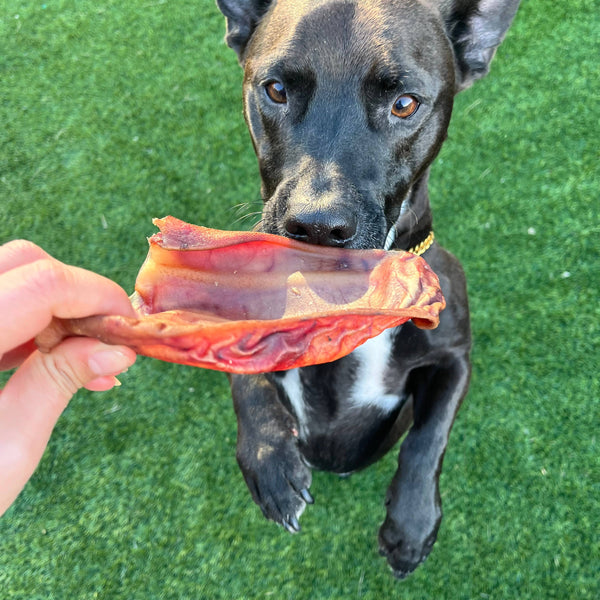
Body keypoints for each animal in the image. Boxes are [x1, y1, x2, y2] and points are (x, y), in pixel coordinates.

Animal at [216, 0, 520, 580]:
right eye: (275, 90)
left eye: (405, 104)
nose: (316, 225)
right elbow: (247, 380)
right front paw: (270, 462)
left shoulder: (454, 357)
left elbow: (428, 437)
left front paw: (412, 525)